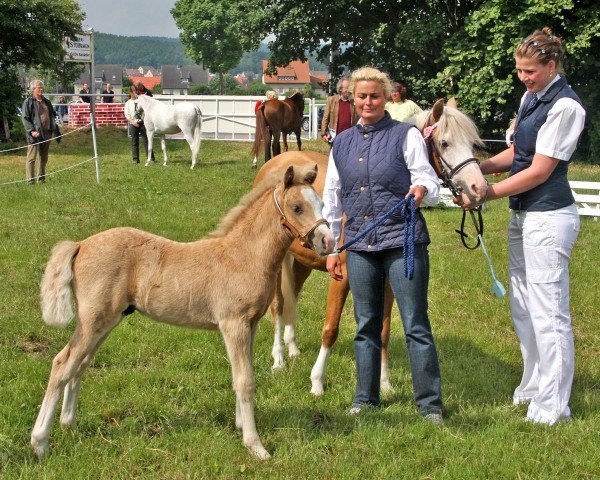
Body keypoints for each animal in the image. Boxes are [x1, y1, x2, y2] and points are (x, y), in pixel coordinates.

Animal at [32, 166, 336, 462]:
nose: (328, 241)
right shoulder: (234, 324)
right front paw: (255, 446)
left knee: (80, 364)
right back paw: (40, 443)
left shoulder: (250, 325)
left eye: (322, 203)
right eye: (297, 207)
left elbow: (241, 375)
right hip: (94, 320)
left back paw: (69, 425)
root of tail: (80, 244)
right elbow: (245, 380)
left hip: (105, 321)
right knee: (62, 364)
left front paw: (240, 426)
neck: (243, 255)